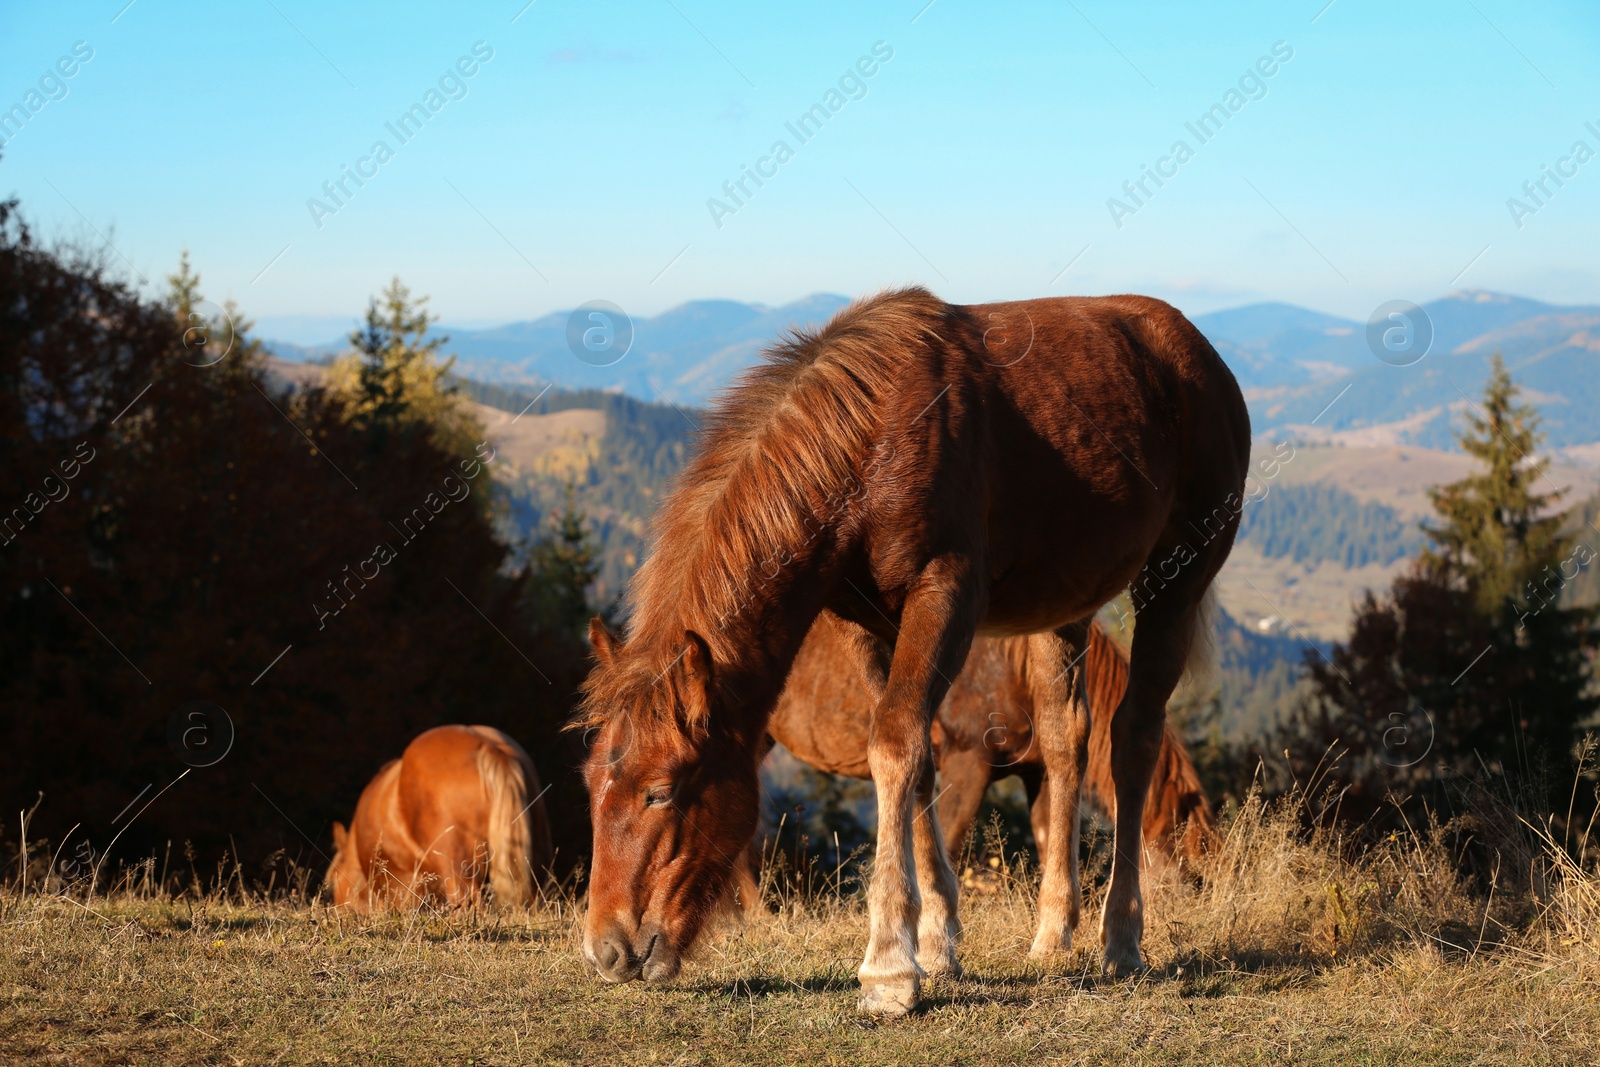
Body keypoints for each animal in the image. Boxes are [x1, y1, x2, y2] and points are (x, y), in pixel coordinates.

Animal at [768, 617, 1216, 927]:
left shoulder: (1039, 773)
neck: (1018, 664)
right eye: (1190, 872)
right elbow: (944, 844)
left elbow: (1050, 840)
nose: (1188, 917)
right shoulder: (967, 765)